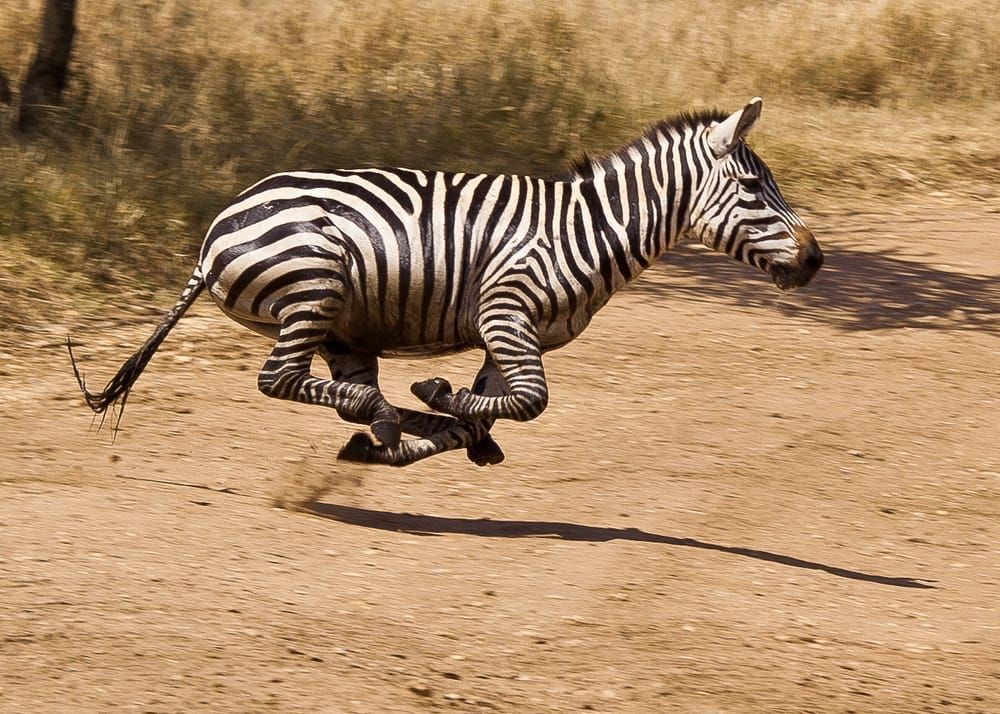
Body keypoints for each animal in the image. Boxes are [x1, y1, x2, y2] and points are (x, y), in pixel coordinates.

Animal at [69, 97, 822, 467]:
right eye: (753, 188)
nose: (816, 260)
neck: (590, 226)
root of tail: (213, 234)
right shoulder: (505, 311)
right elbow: (530, 403)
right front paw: (442, 398)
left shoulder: (514, 334)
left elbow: (493, 410)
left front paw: (447, 420)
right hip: (315, 288)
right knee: (281, 380)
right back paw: (382, 416)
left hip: (344, 327)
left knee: (339, 396)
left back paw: (382, 424)